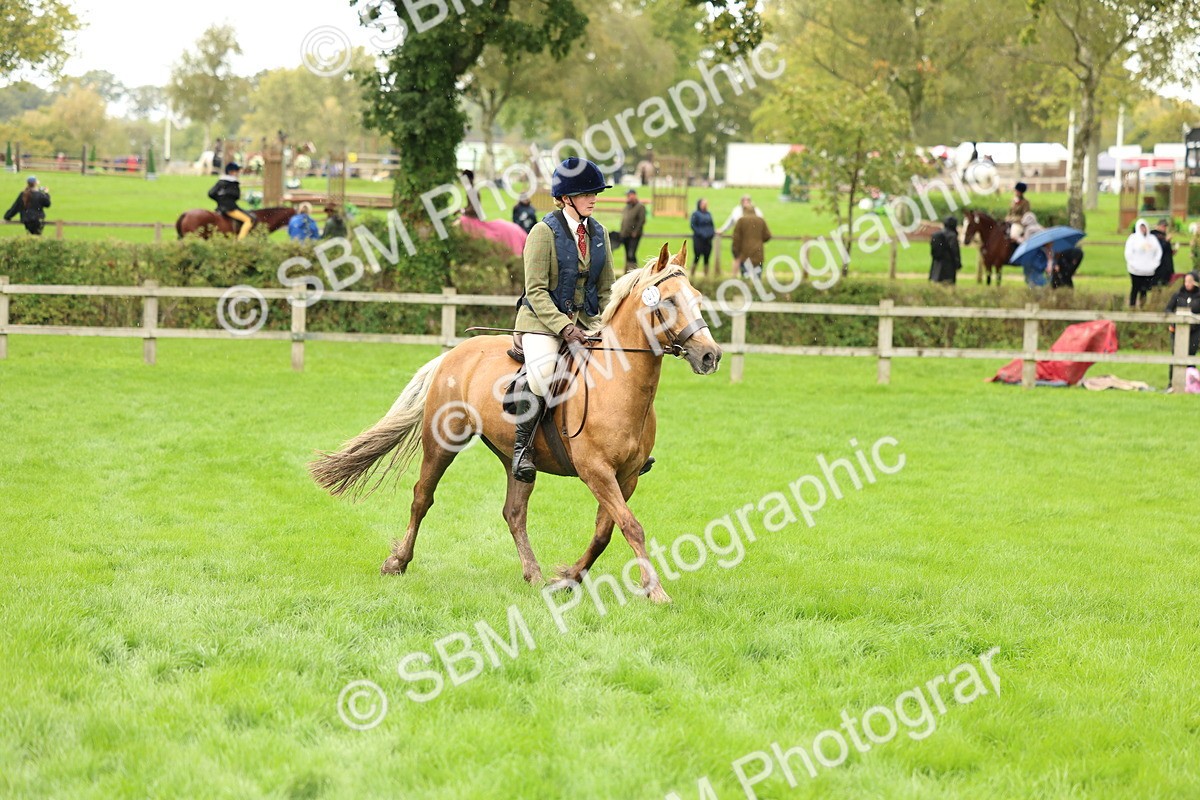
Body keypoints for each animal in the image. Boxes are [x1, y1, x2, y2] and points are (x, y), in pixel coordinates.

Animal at [309, 242, 722, 603]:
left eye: (697, 298)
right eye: (668, 301)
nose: (710, 356)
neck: (617, 384)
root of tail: (453, 354)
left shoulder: (628, 475)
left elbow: (606, 531)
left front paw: (567, 578)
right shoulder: (596, 471)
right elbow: (631, 526)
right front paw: (655, 591)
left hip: (516, 457)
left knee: (514, 511)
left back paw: (533, 573)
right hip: (441, 443)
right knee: (422, 497)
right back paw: (398, 561)